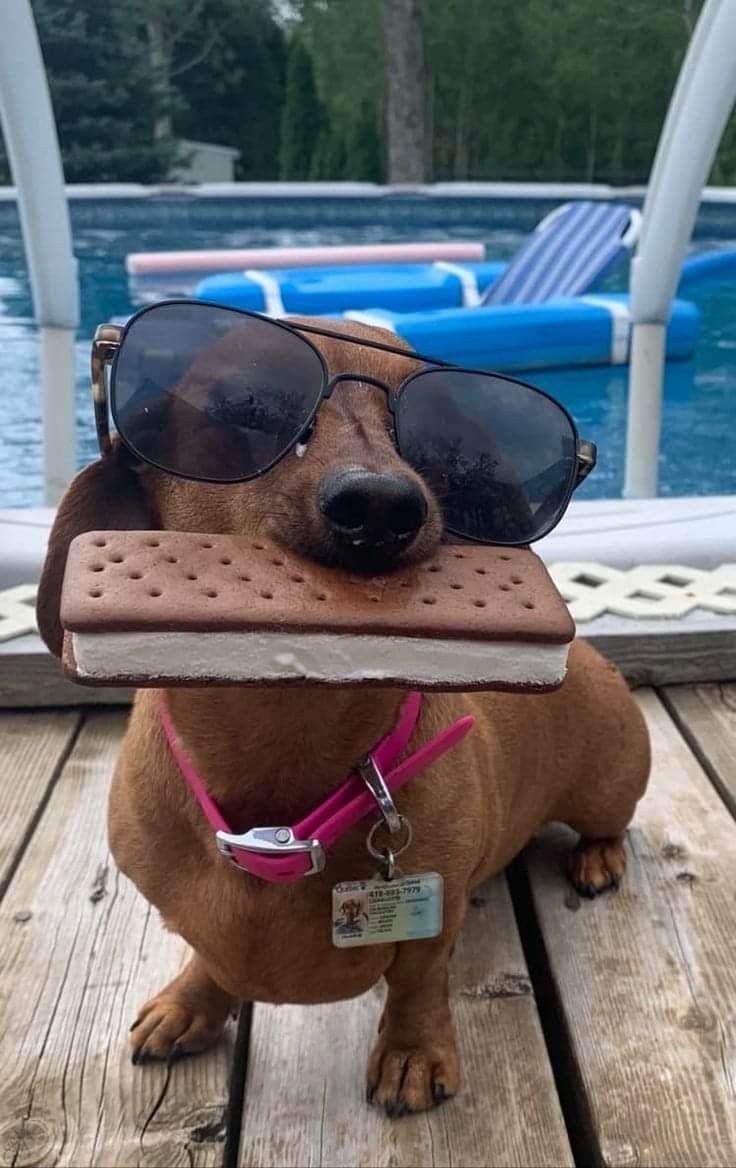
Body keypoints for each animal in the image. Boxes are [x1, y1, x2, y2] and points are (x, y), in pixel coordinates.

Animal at [37, 317, 649, 1111]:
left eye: (448, 438)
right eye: (240, 403)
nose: (382, 507)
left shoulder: (433, 920)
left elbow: (420, 979)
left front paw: (412, 1053)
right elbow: (207, 955)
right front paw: (191, 1002)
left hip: (607, 782)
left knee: (612, 822)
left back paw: (598, 856)